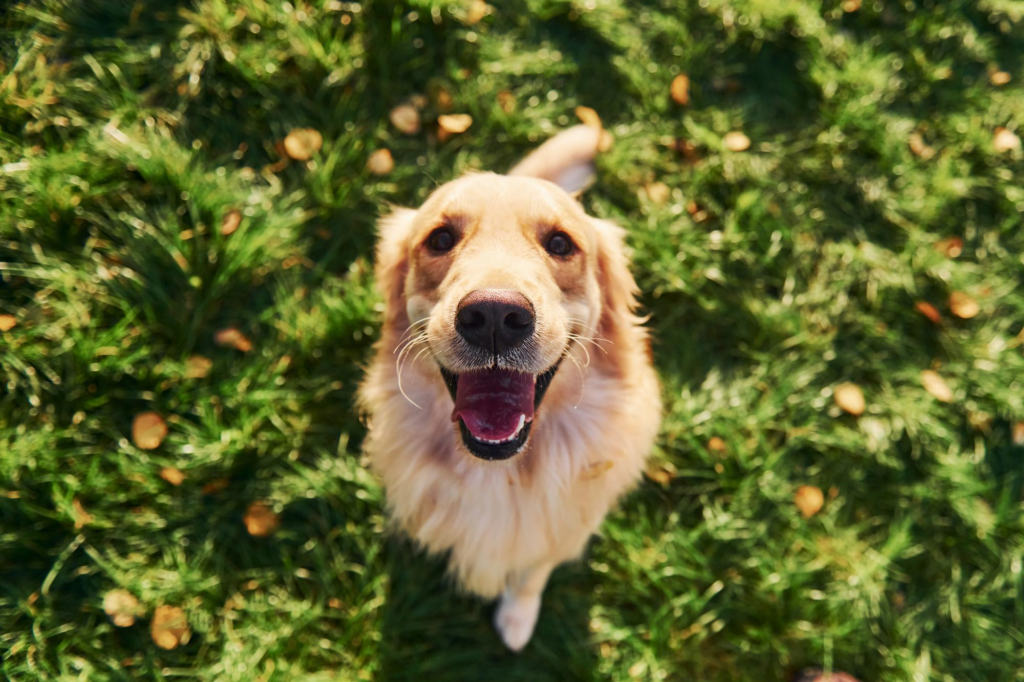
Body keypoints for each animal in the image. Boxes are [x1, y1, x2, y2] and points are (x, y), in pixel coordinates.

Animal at [360, 124, 663, 651]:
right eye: (440, 238)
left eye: (560, 244)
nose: (495, 316)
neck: (499, 471)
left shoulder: (563, 526)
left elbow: (531, 572)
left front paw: (518, 617)